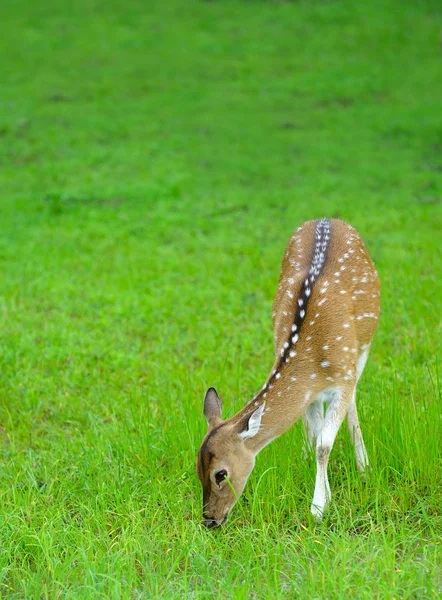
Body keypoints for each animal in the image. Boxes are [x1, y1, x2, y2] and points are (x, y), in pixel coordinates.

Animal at [197, 218, 380, 528]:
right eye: (197, 468)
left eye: (221, 473)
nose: (210, 520)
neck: (313, 356)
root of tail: (327, 218)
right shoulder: (309, 392)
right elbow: (318, 437)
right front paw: (325, 494)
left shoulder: (343, 378)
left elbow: (325, 444)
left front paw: (318, 508)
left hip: (363, 348)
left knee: (354, 402)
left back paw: (363, 465)